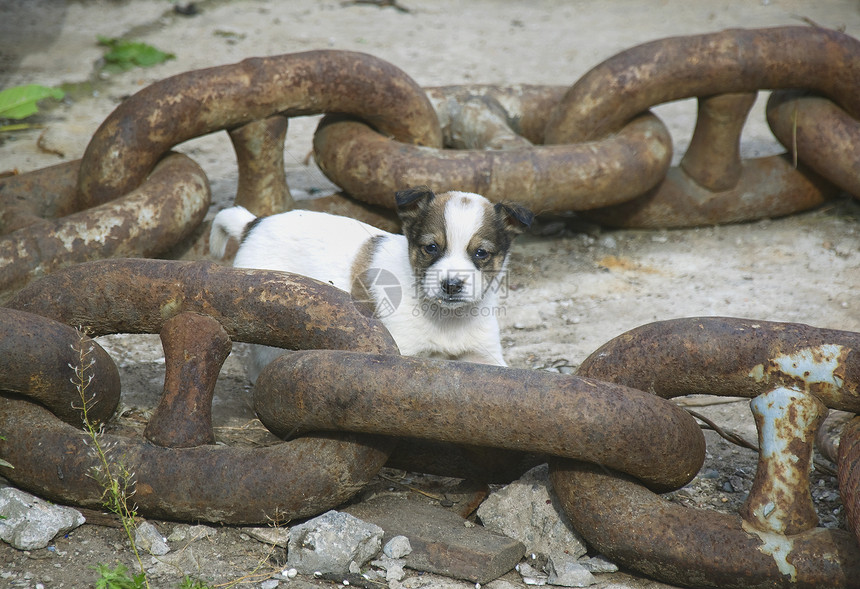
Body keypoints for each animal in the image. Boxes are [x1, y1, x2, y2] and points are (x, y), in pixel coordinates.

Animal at [208, 186, 532, 384]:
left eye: (481, 253)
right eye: (431, 248)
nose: (451, 285)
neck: (447, 320)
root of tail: (253, 224)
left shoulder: (486, 355)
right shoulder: (402, 349)